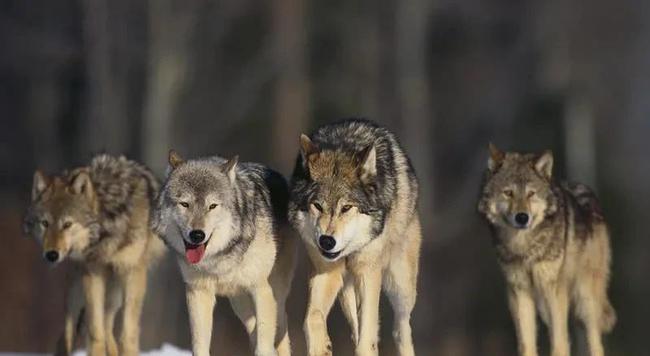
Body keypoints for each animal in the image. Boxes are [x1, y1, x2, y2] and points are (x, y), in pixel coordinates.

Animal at [22, 155, 165, 356]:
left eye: (67, 224)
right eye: (45, 223)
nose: (51, 255)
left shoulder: (132, 272)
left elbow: (127, 332)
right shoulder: (92, 273)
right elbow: (95, 330)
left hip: (115, 292)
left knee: (107, 325)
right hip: (77, 290)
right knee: (69, 332)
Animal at [151, 150, 294, 356]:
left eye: (212, 206)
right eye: (184, 204)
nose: (197, 235)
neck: (219, 259)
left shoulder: (261, 289)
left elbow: (264, 345)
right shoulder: (198, 292)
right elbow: (200, 346)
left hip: (275, 297)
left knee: (280, 328)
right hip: (240, 302)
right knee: (253, 329)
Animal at [288, 119, 420, 356]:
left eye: (347, 208)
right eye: (317, 206)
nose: (326, 241)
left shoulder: (369, 271)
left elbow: (367, 336)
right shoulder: (326, 270)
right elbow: (311, 318)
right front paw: (321, 346)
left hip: (401, 285)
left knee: (401, 327)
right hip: (346, 289)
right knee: (356, 328)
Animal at [476, 144, 612, 356]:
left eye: (531, 193)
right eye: (508, 193)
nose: (522, 217)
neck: (525, 248)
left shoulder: (553, 290)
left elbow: (559, 342)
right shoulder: (519, 291)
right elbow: (527, 343)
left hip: (585, 299)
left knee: (595, 342)